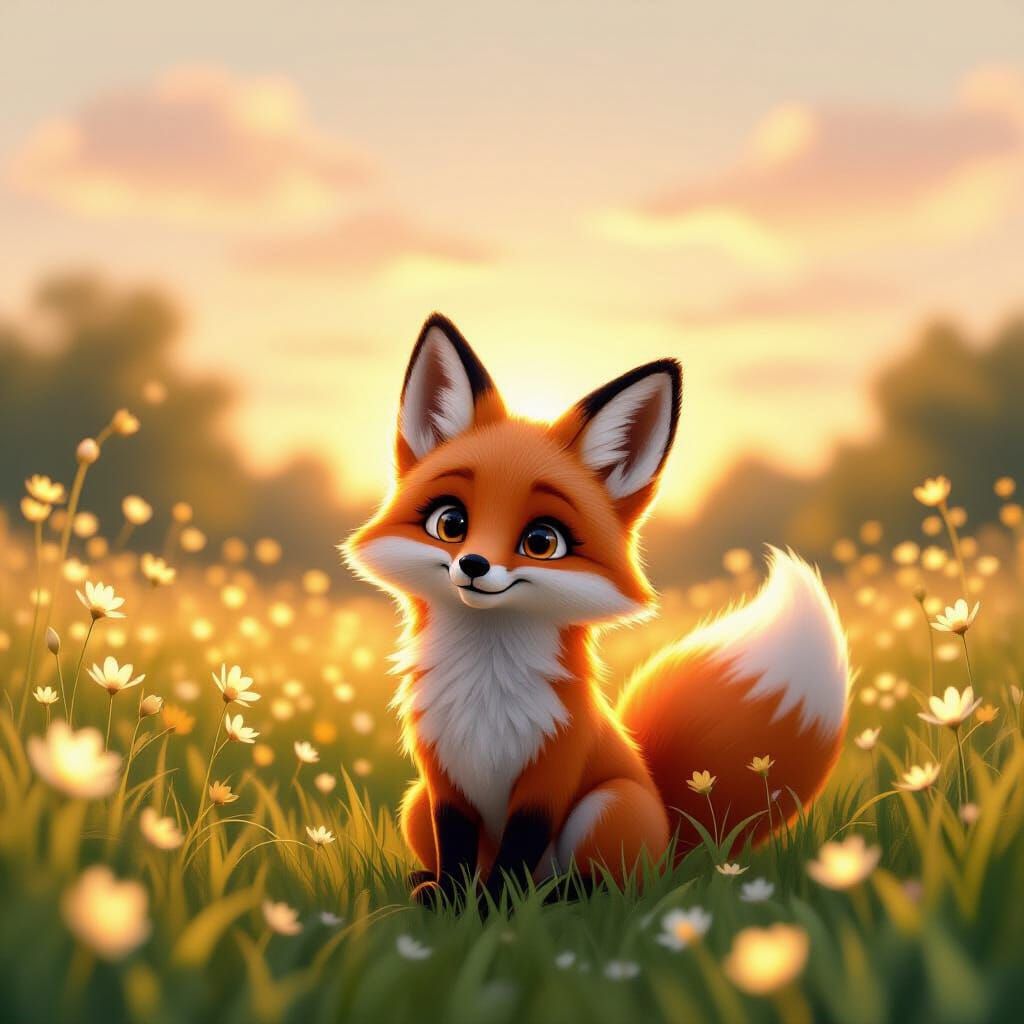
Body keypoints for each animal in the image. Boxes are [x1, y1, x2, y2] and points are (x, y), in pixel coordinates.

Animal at [344, 313, 850, 910]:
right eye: (450, 523)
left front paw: (499, 911)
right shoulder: (443, 778)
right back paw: (424, 882)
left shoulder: (551, 775)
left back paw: (563, 896)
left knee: (610, 886)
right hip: (414, 801)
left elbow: (517, 855)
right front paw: (454, 902)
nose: (472, 564)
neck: (486, 694)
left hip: (608, 806)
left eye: (541, 541)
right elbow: (458, 853)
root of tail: (673, 838)